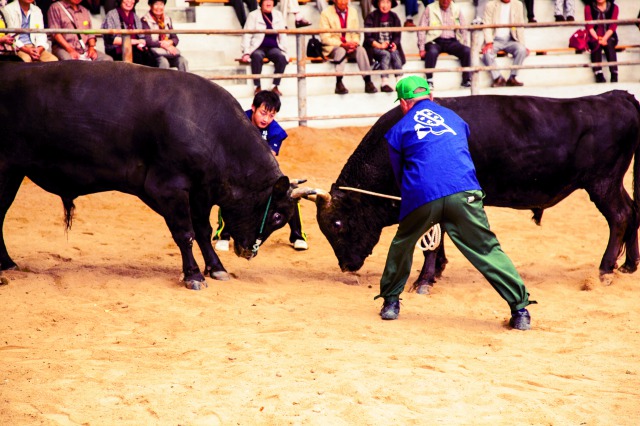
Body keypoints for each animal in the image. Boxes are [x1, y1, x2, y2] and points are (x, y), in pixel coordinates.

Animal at [0, 60, 302, 290]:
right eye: (277, 216)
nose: (249, 252)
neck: (215, 133)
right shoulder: (169, 188)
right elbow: (185, 233)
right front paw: (193, 275)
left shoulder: (200, 192)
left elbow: (203, 231)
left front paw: (216, 267)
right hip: (6, 171)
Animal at [314, 91, 640, 288]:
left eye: (338, 224)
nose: (346, 265)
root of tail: (617, 96)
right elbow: (439, 234)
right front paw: (437, 270)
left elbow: (432, 237)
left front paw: (424, 279)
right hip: (611, 183)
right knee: (633, 212)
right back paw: (629, 265)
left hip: (602, 183)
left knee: (620, 216)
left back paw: (606, 269)